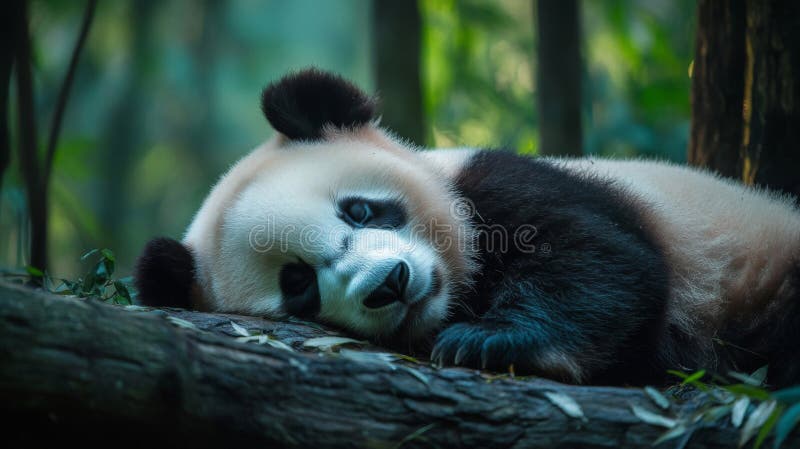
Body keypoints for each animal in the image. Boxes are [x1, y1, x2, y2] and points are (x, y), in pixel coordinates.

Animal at [135, 69, 800, 386]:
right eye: (297, 284)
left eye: (359, 210)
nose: (390, 282)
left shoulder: (506, 181)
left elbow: (600, 263)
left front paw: (484, 342)